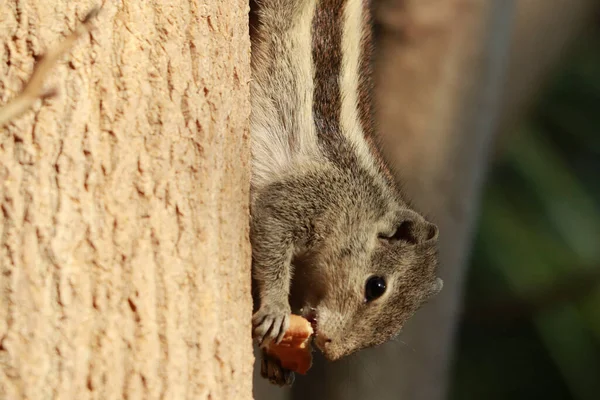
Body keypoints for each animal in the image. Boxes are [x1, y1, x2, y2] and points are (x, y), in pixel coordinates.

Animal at [247, 0, 440, 388]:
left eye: (397, 327)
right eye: (375, 286)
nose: (332, 349)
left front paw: (276, 358)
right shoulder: (309, 197)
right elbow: (271, 224)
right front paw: (276, 308)